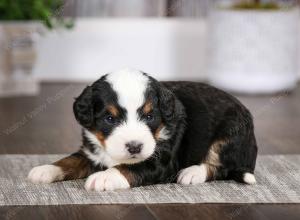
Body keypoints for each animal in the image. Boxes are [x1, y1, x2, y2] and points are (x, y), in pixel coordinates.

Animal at [28, 68, 258, 191]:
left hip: (230, 134)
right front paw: (45, 169)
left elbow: (129, 167)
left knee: (222, 166)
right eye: (110, 118)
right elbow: (70, 160)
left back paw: (191, 173)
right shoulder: (92, 151)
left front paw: (104, 177)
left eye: (149, 116)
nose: (134, 147)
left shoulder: (160, 161)